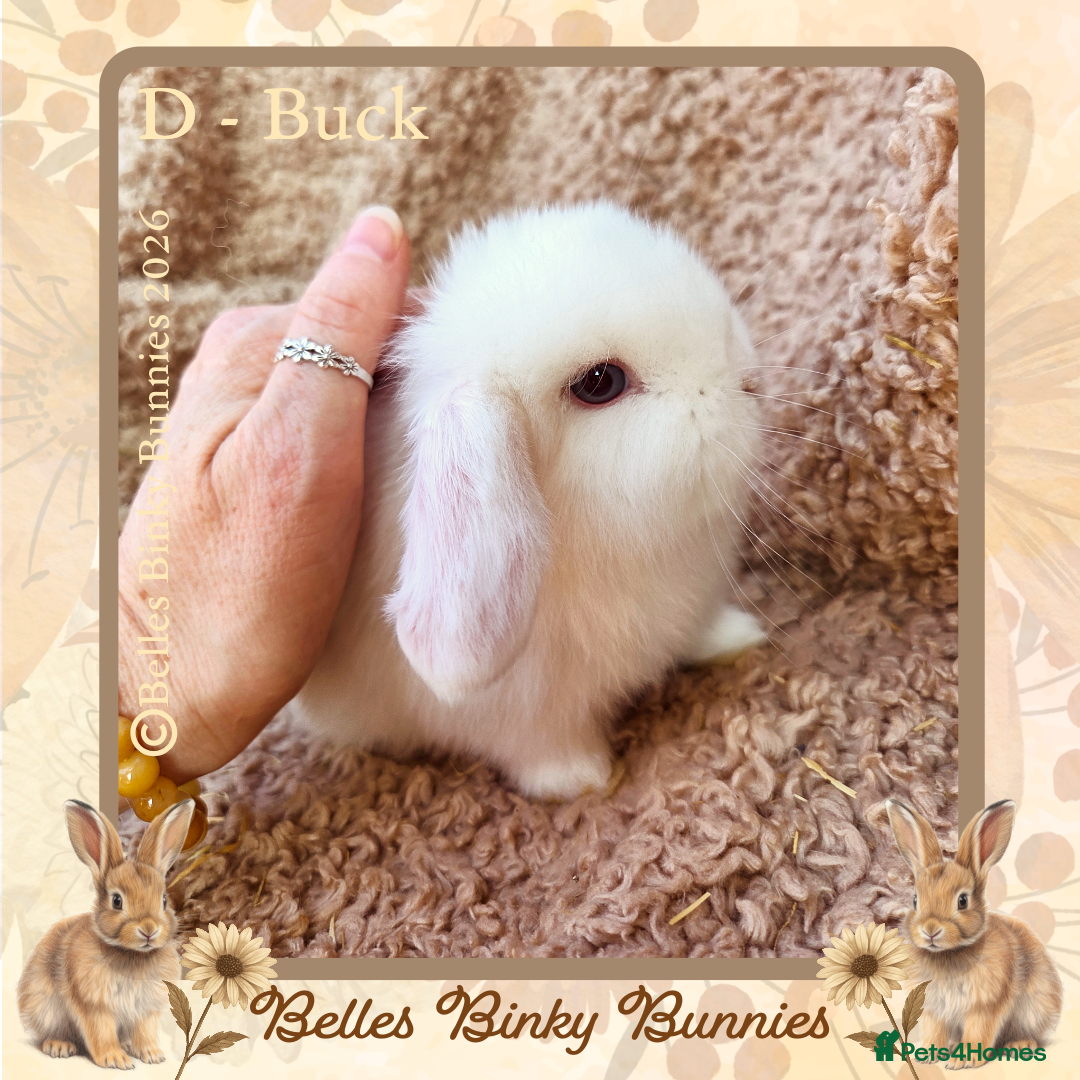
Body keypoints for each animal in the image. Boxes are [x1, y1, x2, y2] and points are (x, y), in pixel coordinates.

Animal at [17, 798, 195, 1069]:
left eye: (164, 900)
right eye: (117, 901)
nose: (149, 930)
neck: (132, 954)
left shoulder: (145, 1010)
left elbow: (145, 1031)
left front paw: (152, 1055)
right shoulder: (95, 1005)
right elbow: (101, 1031)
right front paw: (115, 1060)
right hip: (45, 1008)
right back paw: (59, 1046)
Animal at [285, 201, 768, 800]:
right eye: (600, 382)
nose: (749, 379)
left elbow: (700, 633)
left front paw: (739, 638)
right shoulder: (523, 713)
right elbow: (543, 748)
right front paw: (586, 780)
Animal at [885, 798, 1063, 1067]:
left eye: (962, 901)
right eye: (915, 900)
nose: (930, 930)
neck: (949, 954)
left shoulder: (984, 1005)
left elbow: (978, 1031)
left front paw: (963, 1061)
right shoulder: (935, 1010)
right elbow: (934, 1031)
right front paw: (926, 1056)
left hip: (1033, 1009)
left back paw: (1019, 1045)